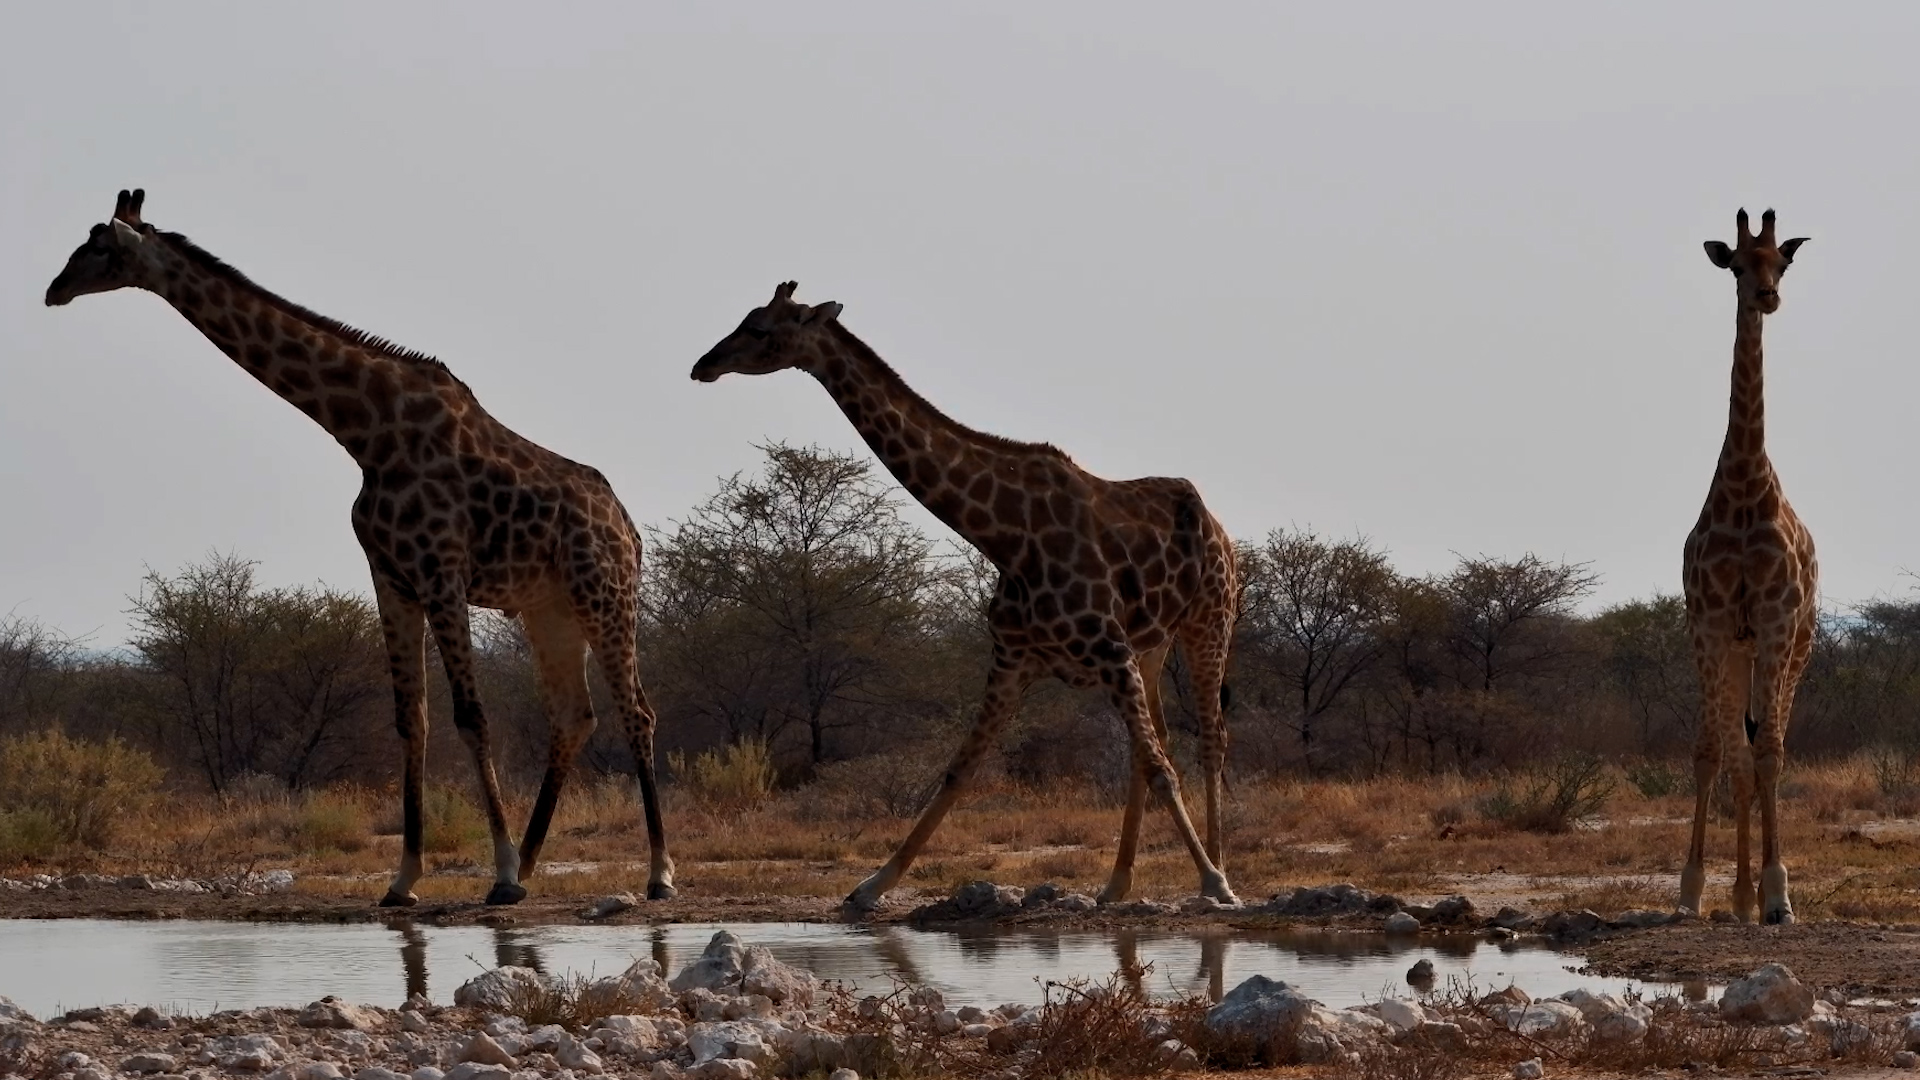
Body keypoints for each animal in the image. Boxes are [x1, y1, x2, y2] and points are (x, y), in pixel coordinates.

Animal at [45, 189, 675, 905]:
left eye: (100, 247)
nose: (53, 289)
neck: (366, 434)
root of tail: (629, 529)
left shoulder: (441, 573)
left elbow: (470, 716)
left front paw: (500, 869)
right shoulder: (391, 576)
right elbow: (412, 720)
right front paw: (406, 879)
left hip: (604, 594)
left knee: (637, 712)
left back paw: (656, 873)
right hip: (550, 610)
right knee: (573, 717)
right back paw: (537, 864)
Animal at [691, 281, 1240, 911]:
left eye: (759, 328)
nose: (703, 365)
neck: (1004, 535)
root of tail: (1219, 528)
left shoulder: (1107, 650)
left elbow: (1161, 769)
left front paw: (1214, 882)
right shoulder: (1015, 659)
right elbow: (959, 770)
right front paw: (873, 885)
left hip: (1209, 620)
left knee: (1208, 739)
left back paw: (1218, 870)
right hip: (1152, 644)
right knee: (1156, 744)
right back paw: (1116, 884)